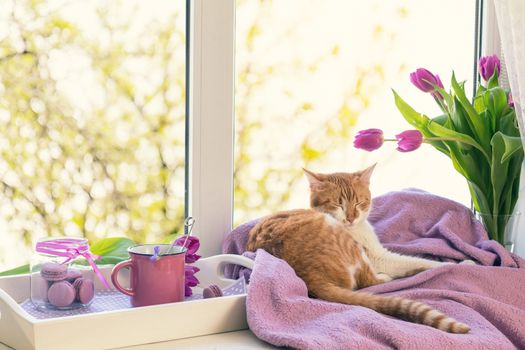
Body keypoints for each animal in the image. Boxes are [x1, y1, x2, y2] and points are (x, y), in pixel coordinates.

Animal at [246, 164, 470, 334]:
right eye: (338, 204)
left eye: (360, 202)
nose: (351, 218)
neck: (355, 228)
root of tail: (309, 276)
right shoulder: (378, 257)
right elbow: (419, 261)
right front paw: (463, 264)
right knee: (368, 280)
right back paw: (385, 278)